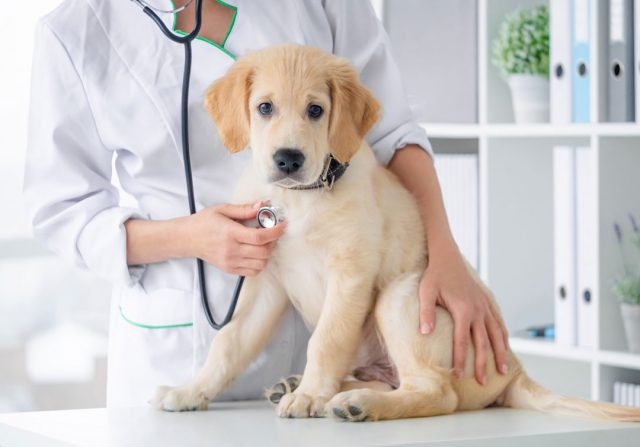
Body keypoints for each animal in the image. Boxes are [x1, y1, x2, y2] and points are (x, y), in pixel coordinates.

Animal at [152, 45, 640, 424]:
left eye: (316, 110)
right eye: (264, 107)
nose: (288, 159)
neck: (302, 199)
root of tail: (513, 369)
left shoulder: (351, 275)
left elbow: (327, 340)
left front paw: (309, 396)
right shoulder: (264, 282)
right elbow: (228, 344)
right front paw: (191, 391)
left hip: (399, 296)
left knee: (436, 392)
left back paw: (353, 403)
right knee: (398, 381)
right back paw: (316, 387)